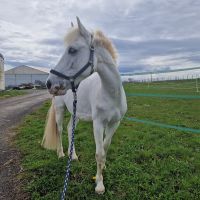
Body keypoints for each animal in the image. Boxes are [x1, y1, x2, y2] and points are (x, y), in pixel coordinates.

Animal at [41, 18, 127, 195]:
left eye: (72, 50)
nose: (49, 83)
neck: (110, 94)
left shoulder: (114, 123)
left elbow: (105, 148)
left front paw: (103, 168)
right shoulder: (98, 124)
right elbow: (99, 153)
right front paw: (99, 185)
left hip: (76, 114)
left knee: (69, 129)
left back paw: (72, 156)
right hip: (60, 110)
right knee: (60, 129)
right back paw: (61, 154)